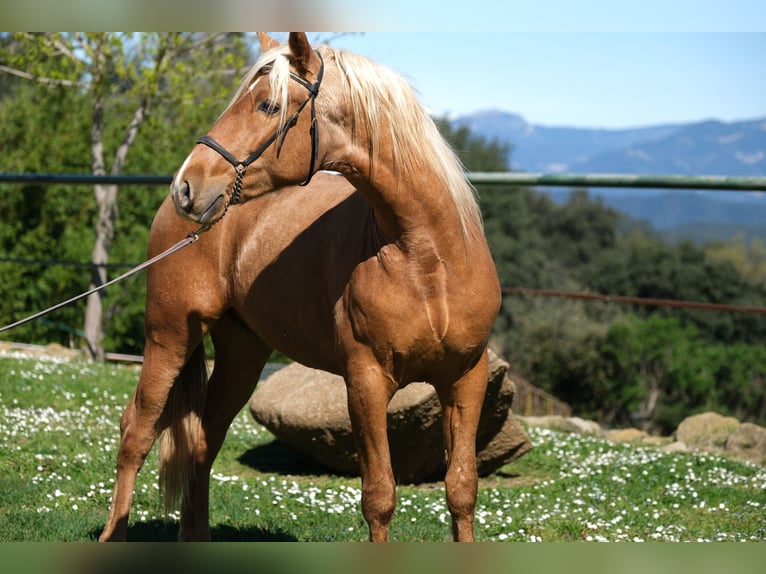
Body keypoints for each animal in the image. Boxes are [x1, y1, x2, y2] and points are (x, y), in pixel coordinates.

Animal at [99, 32, 500, 542]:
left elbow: (462, 488)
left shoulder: (466, 379)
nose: (186, 185)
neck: (429, 257)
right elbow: (380, 497)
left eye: (268, 105)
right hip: (168, 337)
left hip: (242, 355)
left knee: (203, 445)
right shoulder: (366, 382)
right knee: (137, 432)